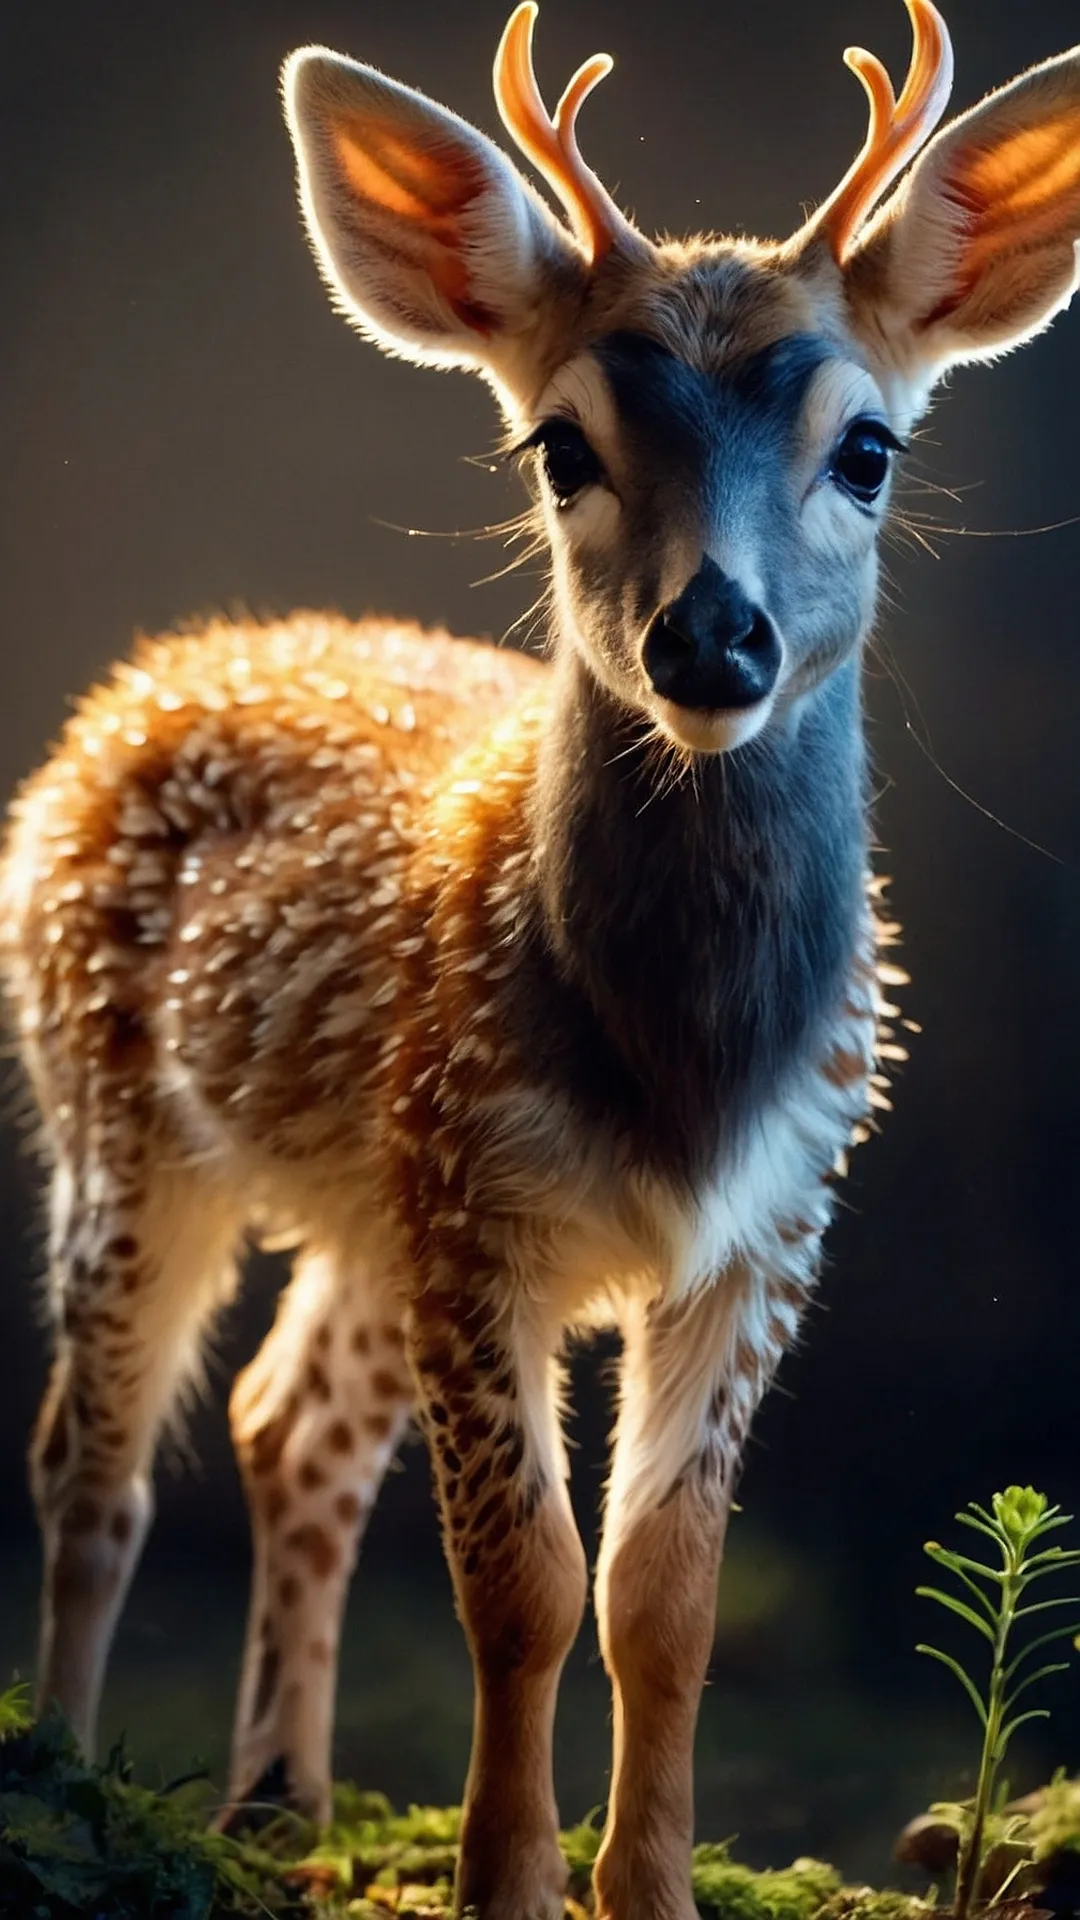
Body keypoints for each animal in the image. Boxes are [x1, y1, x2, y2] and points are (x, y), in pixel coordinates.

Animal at [3, 1, 1080, 1914]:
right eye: (560, 447)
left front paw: (646, 1885)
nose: (713, 636)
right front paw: (502, 1880)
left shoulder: (769, 1222)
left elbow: (665, 1596)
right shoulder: (475, 1194)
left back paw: (279, 1799)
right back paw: (70, 1779)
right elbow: (521, 1583)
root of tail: (158, 668)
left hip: (364, 1202)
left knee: (289, 1424)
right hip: (114, 1109)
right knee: (95, 1456)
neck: (683, 1071)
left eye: (867, 447)